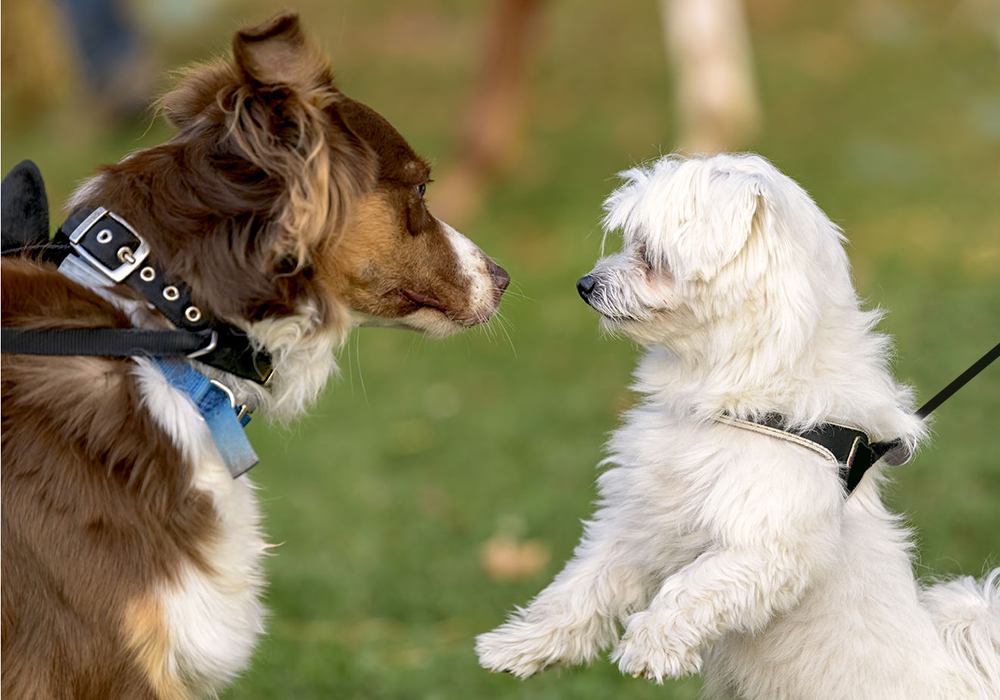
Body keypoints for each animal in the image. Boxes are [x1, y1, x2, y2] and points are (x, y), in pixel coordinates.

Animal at [478, 154, 1000, 700]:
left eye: (651, 254)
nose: (585, 285)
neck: (733, 399)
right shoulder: (640, 521)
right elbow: (582, 584)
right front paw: (519, 645)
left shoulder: (765, 547)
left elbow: (689, 589)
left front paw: (650, 647)